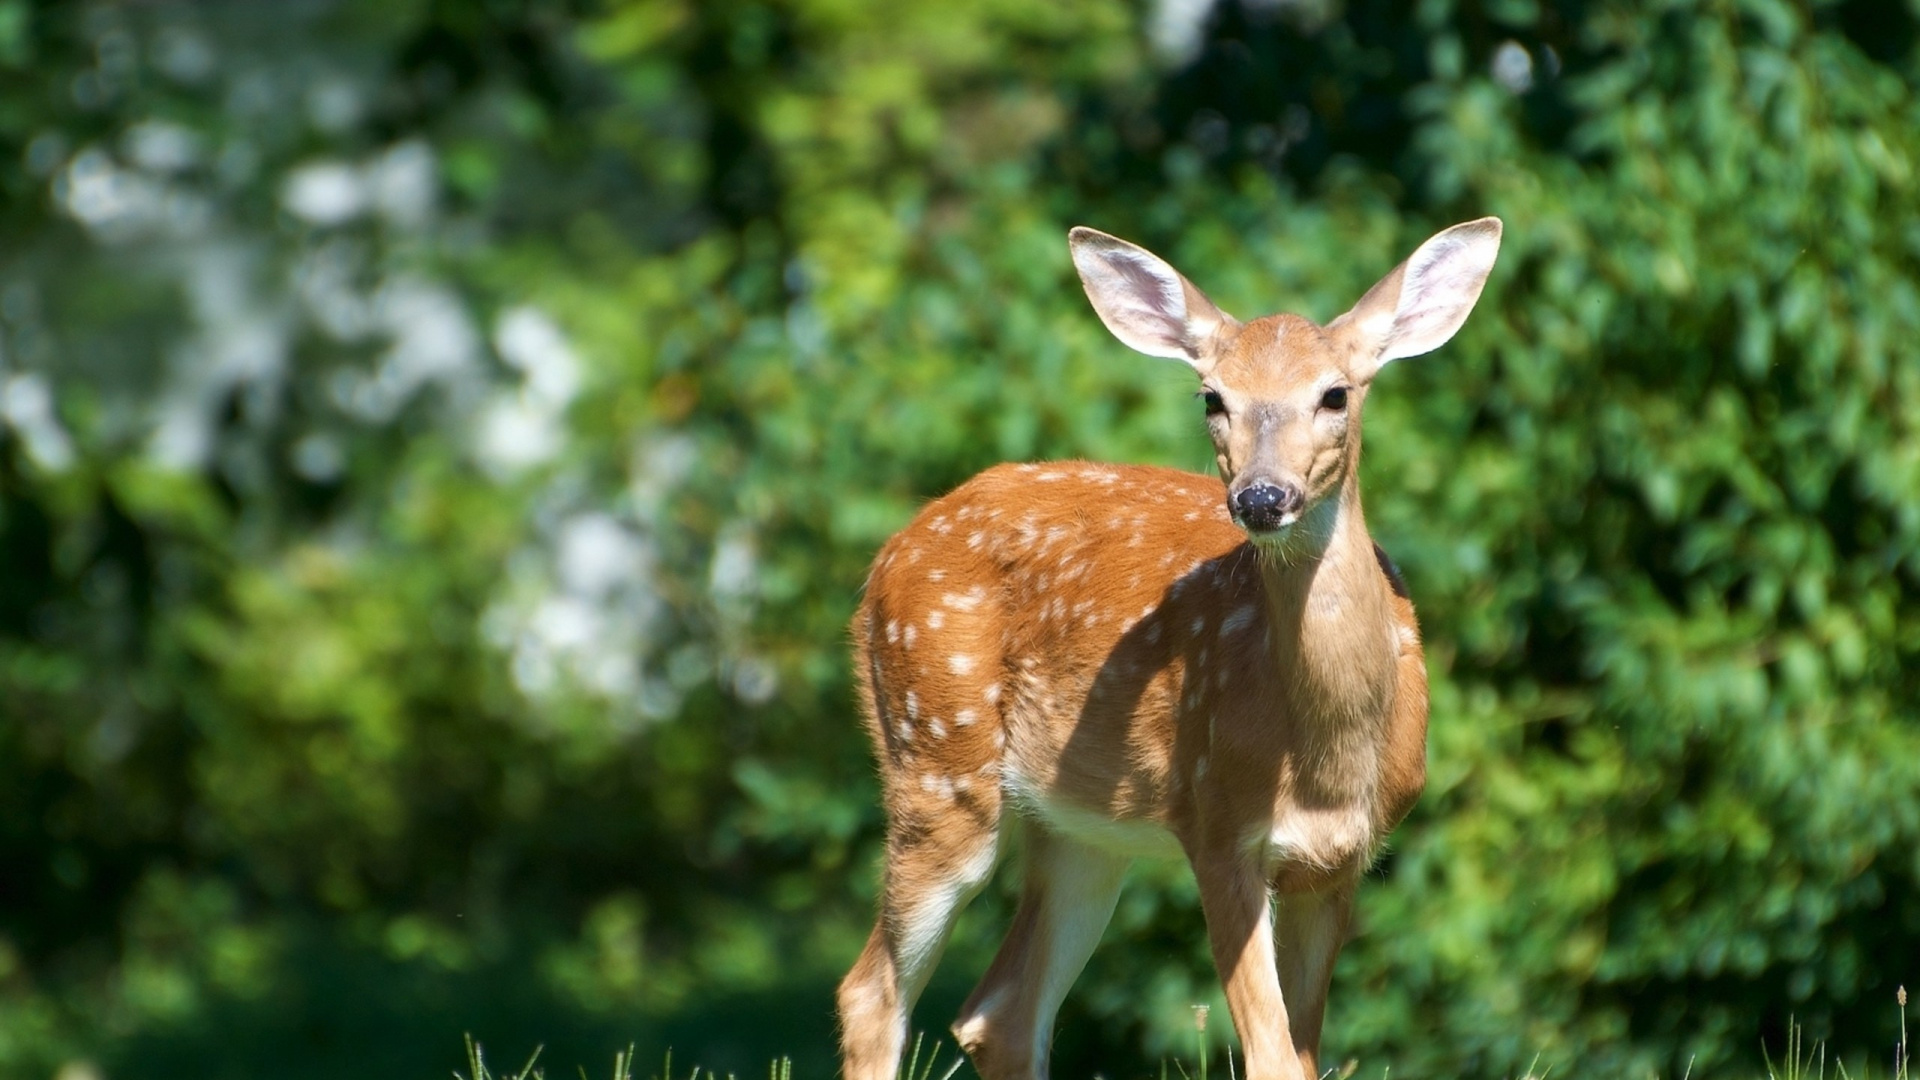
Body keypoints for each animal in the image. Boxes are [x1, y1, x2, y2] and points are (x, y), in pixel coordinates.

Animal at [835, 217, 1503, 1080]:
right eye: (1212, 397)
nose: (1261, 497)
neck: (1325, 757)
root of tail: (885, 558)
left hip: (1082, 826)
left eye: (1335, 394)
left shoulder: (1341, 861)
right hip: (936, 762)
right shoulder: (1215, 822)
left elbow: (1304, 1057)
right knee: (872, 993)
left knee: (1000, 1011)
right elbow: (1272, 1056)